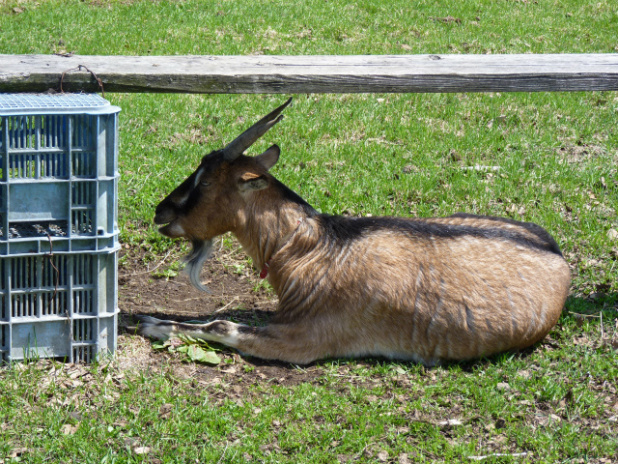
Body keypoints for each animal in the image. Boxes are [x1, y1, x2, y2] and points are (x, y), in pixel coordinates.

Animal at [137, 99, 572, 366]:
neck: (316, 251)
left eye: (205, 182)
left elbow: (221, 325)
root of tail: (556, 252)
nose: (161, 210)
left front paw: (155, 325)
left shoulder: (305, 340)